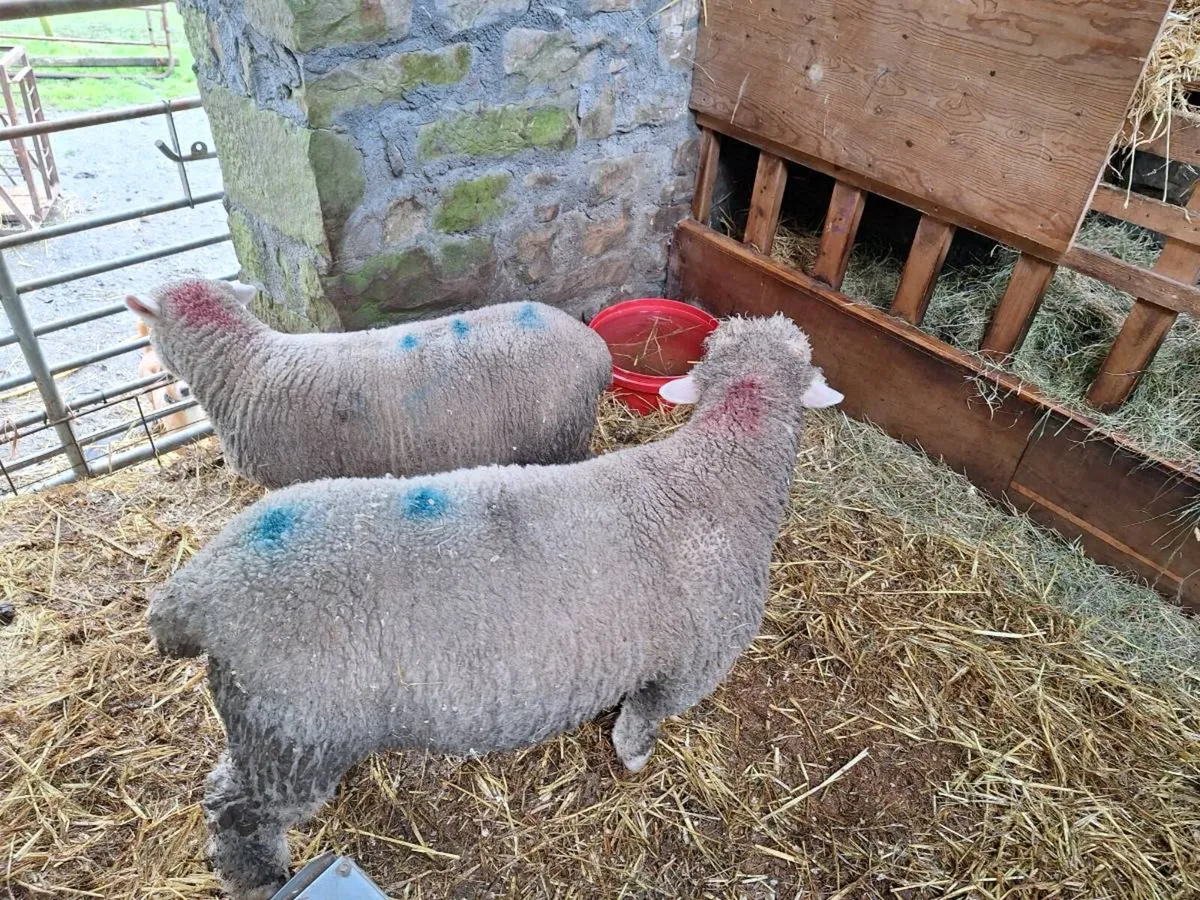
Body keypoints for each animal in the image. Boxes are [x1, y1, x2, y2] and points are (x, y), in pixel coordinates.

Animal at [147, 314, 843, 900]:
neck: (713, 475)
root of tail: (196, 592)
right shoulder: (689, 665)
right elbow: (640, 722)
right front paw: (635, 760)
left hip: (266, 728)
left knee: (219, 785)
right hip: (295, 736)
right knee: (239, 812)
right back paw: (258, 878)